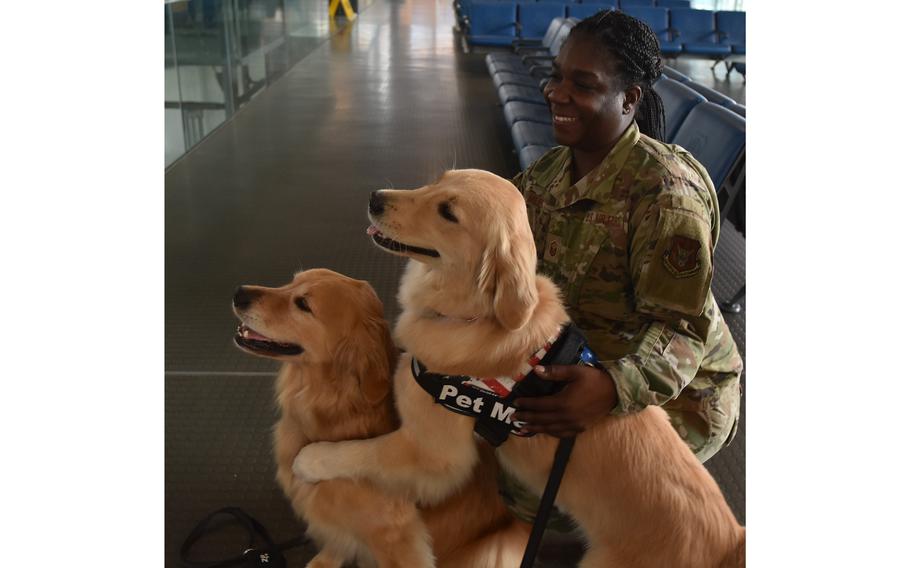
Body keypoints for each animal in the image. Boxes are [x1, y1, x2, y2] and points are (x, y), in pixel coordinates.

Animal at [232, 270, 532, 568]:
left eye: (303, 304)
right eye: (292, 281)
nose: (239, 293)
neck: (333, 406)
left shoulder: (397, 537)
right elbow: (337, 540)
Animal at [296, 171, 752, 564]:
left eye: (448, 212)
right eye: (436, 181)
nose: (375, 198)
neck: (472, 317)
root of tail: (730, 540)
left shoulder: (433, 453)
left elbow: (359, 451)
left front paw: (311, 460)